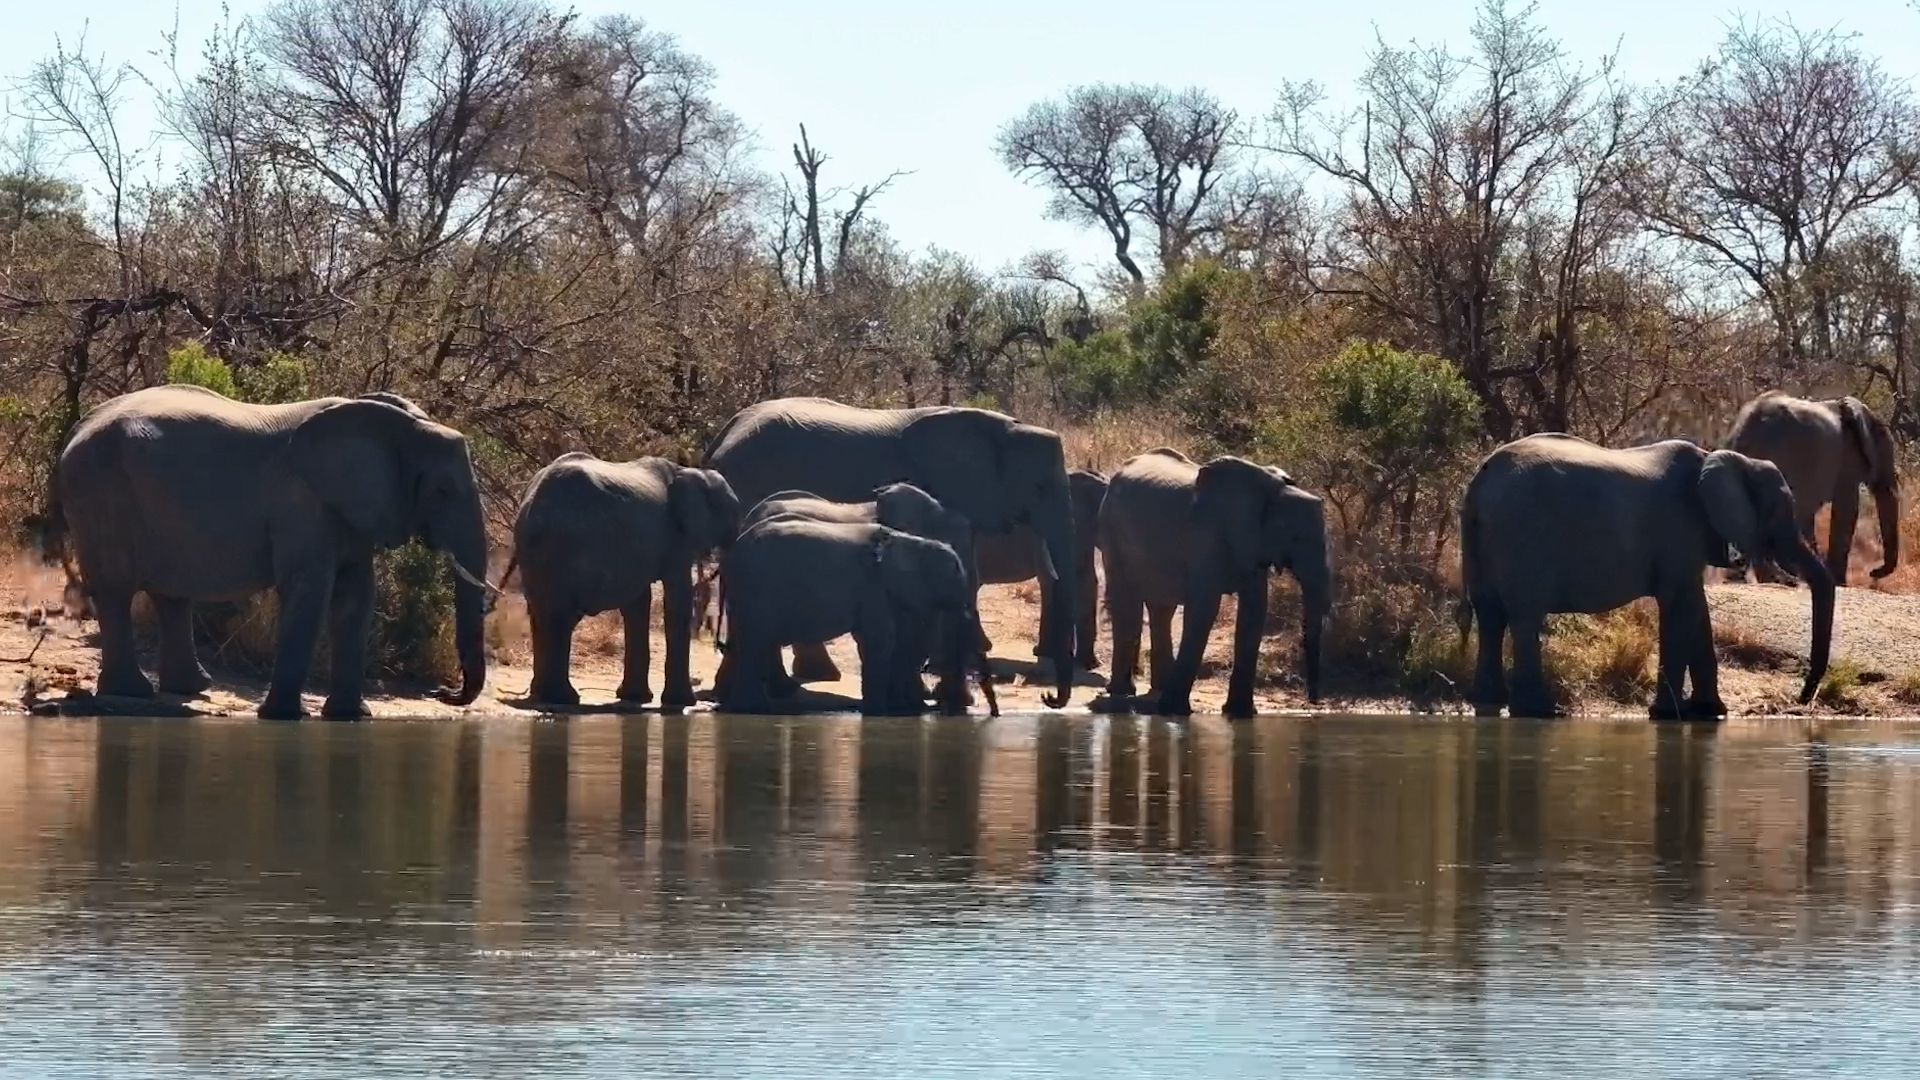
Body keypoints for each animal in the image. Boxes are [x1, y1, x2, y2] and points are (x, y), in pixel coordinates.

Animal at [53, 384, 491, 719]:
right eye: (442, 491)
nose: (444, 693)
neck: (401, 425)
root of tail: (77, 428)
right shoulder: (300, 501)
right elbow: (309, 589)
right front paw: (283, 716)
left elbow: (357, 595)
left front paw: (350, 716)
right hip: (100, 491)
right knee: (116, 588)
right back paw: (134, 692)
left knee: (170, 593)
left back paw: (191, 689)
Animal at [504, 453, 741, 708]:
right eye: (732, 512)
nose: (720, 646)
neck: (690, 471)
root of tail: (534, 507)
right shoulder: (676, 537)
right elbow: (677, 603)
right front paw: (683, 703)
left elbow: (637, 604)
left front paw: (635, 697)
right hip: (565, 546)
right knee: (562, 616)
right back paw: (562, 698)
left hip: (533, 551)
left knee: (540, 613)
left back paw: (542, 694)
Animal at [712, 517, 989, 715]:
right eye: (952, 579)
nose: (992, 714)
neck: (907, 541)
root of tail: (730, 554)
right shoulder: (874, 587)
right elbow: (880, 639)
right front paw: (877, 712)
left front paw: (896, 709)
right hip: (755, 589)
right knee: (755, 641)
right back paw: (753, 708)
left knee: (752, 642)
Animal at [1099, 449, 1330, 719]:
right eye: (1295, 538)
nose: (1313, 702)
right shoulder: (1207, 536)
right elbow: (1204, 609)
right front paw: (1174, 712)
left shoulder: (1251, 544)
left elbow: (1255, 610)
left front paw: (1240, 714)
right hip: (1111, 530)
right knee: (1127, 602)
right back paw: (1122, 691)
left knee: (1161, 609)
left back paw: (1158, 687)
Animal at [1459, 433, 1834, 719]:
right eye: (1778, 512)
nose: (1801, 698)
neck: (1722, 459)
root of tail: (1479, 483)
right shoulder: (1680, 526)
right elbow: (1680, 607)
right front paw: (1669, 714)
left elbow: (1696, 610)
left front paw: (1709, 712)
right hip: (1522, 535)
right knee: (1524, 616)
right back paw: (1539, 711)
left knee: (1490, 615)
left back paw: (1489, 700)